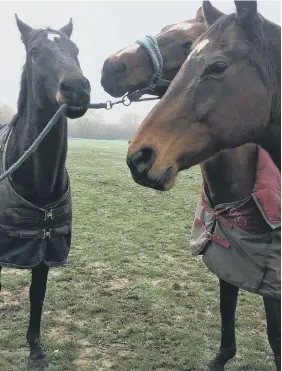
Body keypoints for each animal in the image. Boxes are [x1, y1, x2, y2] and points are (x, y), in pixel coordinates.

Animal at [0, 14, 90, 370]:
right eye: (35, 51)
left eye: (75, 49)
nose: (77, 88)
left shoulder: (44, 245)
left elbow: (37, 294)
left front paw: (35, 349)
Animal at [103, 1, 282, 370]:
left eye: (218, 65)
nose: (111, 66)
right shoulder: (228, 259)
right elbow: (227, 309)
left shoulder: (271, 278)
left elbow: (275, 335)